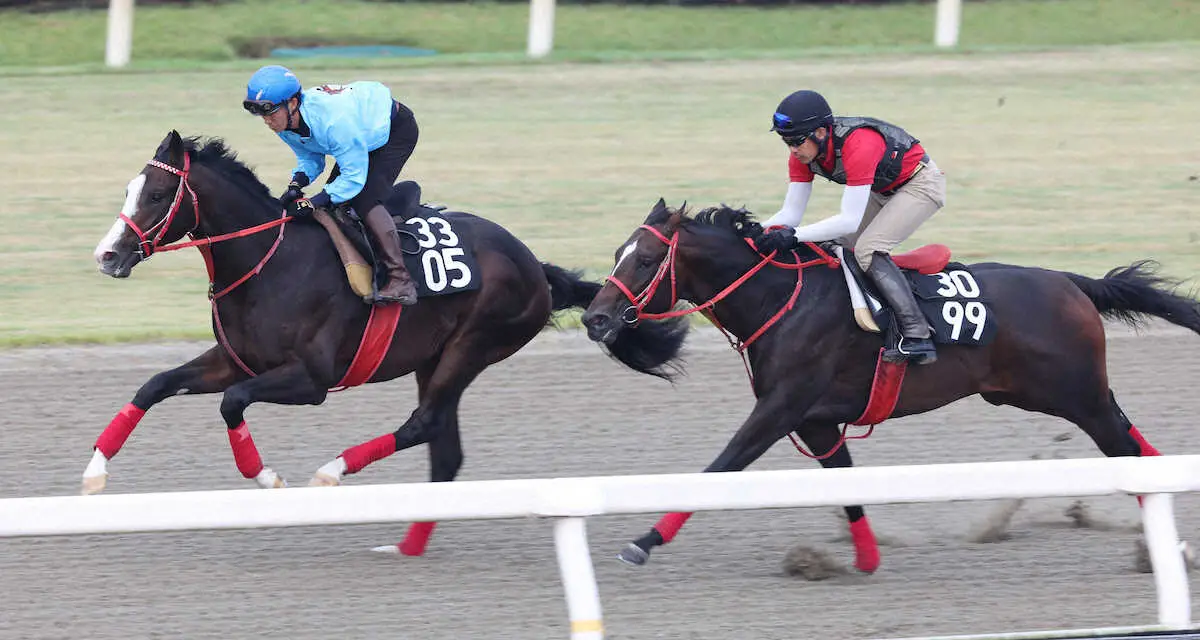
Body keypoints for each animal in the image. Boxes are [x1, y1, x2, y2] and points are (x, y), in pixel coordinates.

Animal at [580, 199, 1200, 569]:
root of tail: (1071, 282)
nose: (595, 318)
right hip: (1051, 393)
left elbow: (718, 469)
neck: (780, 300)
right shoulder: (817, 420)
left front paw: (643, 543)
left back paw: (1163, 547)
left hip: (1074, 395)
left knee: (1124, 450)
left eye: (646, 259)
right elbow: (844, 484)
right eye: (616, 254)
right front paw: (864, 560)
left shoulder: (781, 409)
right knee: (1134, 443)